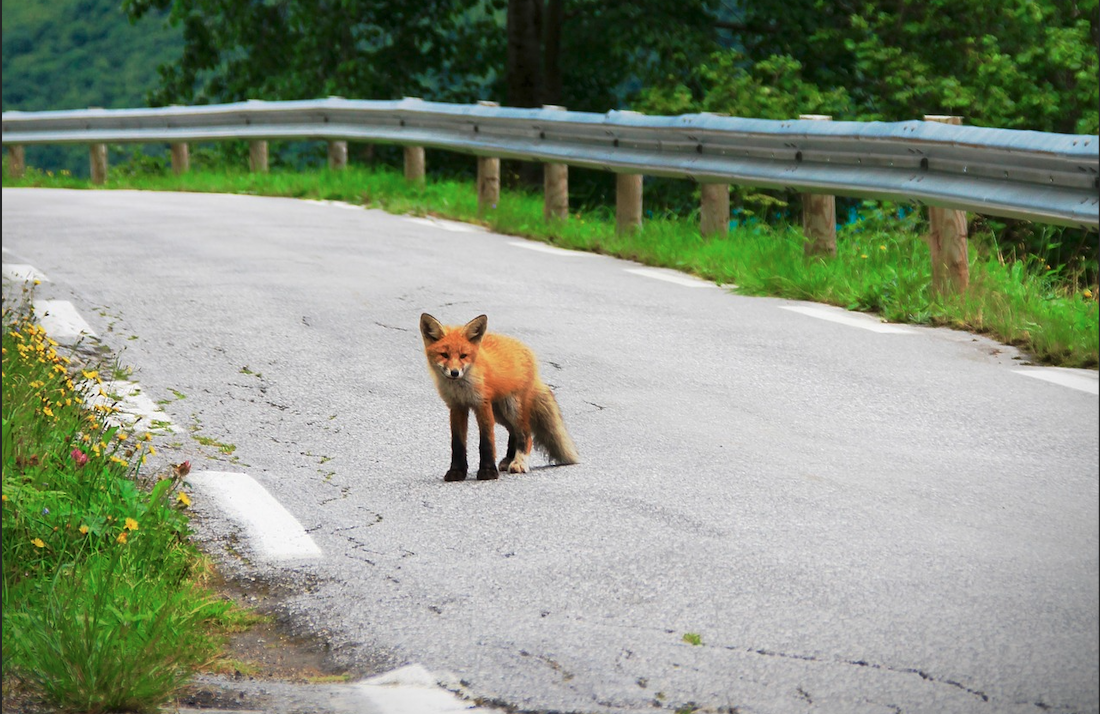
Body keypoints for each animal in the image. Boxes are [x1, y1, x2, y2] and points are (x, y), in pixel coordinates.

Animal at [415, 312, 580, 479]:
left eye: (463, 356)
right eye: (444, 355)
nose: (454, 373)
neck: (462, 388)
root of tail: (525, 349)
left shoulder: (482, 404)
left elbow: (487, 441)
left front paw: (487, 471)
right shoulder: (457, 406)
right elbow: (457, 443)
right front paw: (456, 471)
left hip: (512, 408)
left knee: (525, 434)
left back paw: (519, 462)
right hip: (500, 413)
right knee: (514, 432)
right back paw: (509, 459)